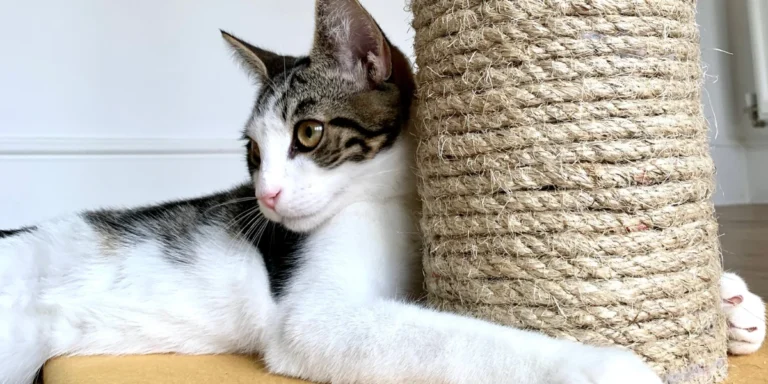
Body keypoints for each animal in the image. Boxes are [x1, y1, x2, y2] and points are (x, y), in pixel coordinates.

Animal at [0, 0, 764, 384]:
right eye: (252, 154)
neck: (398, 203)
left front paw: (730, 305)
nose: (266, 198)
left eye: (307, 134)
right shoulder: (312, 317)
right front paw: (597, 364)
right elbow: (458, 340)